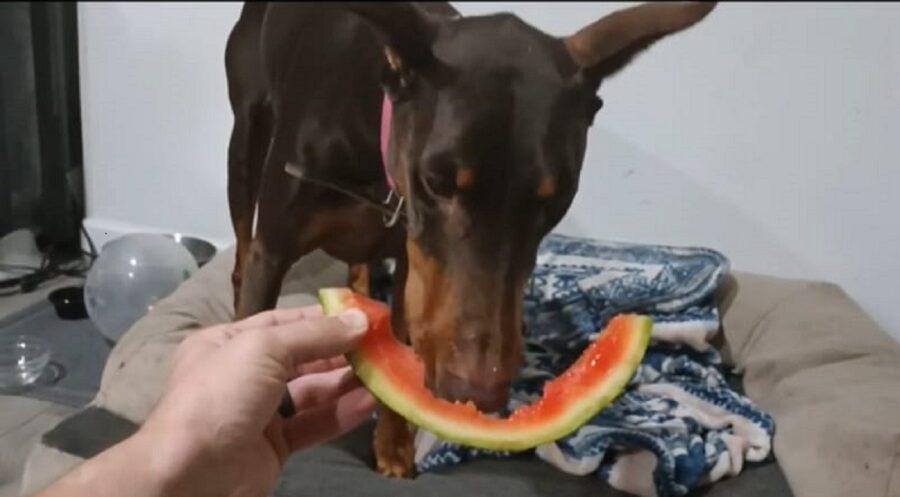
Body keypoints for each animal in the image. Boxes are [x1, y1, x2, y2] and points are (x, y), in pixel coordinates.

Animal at [225, 1, 716, 476]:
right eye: (437, 182)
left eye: (554, 198)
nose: (476, 393)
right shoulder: (275, 248)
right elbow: (260, 301)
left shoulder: (411, 260)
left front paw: (394, 444)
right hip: (245, 137)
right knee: (241, 244)